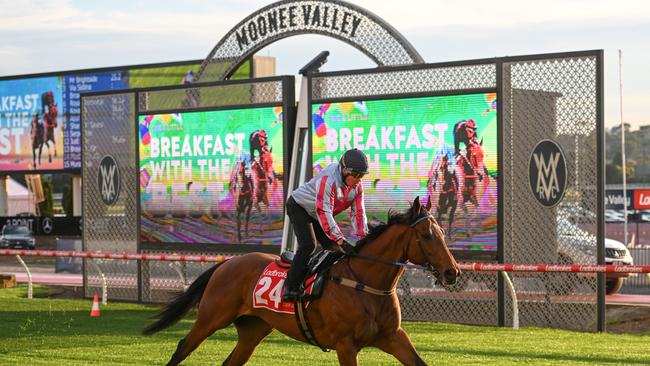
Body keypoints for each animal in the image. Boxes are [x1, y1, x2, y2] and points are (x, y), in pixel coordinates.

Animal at [146, 197, 460, 366]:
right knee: (183, 347)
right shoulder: (346, 345)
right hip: (211, 318)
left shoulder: (393, 337)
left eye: (442, 233)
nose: (452, 272)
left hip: (253, 329)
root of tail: (227, 263)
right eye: (426, 236)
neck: (365, 283)